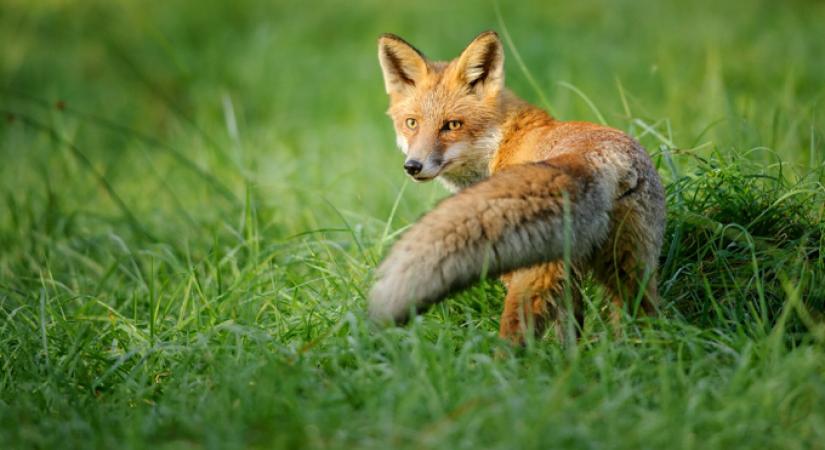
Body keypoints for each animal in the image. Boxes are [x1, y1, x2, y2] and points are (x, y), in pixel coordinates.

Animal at [370, 29, 668, 342]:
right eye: (411, 123)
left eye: (452, 125)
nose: (413, 166)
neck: (502, 141)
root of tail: (601, 160)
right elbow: (569, 334)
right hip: (631, 271)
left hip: (531, 280)